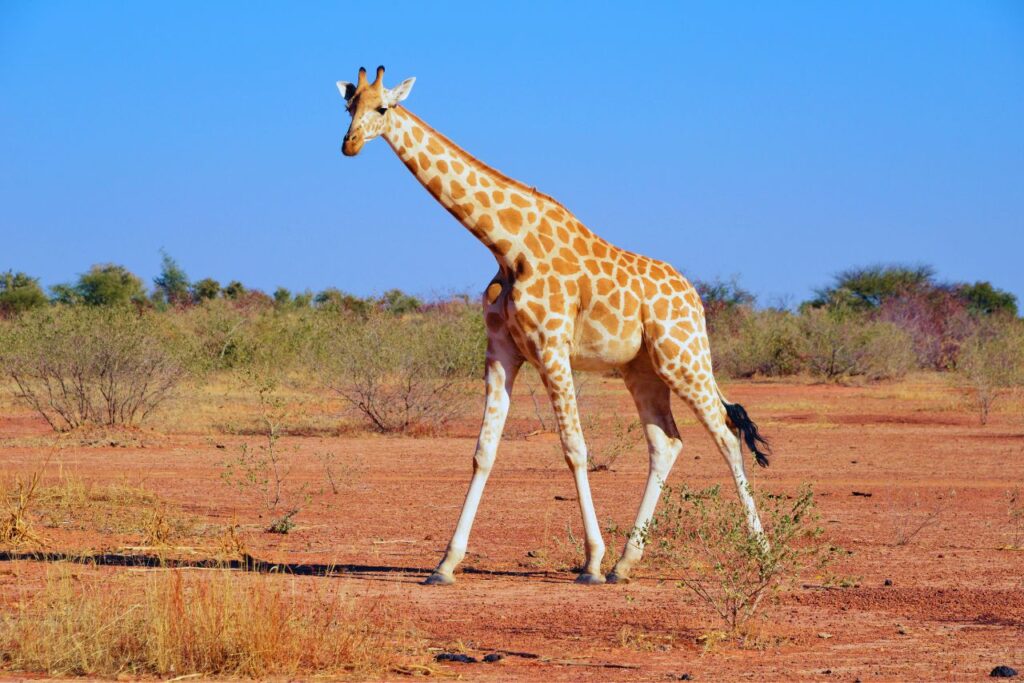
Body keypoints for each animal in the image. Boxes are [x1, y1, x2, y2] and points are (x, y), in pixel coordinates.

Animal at [336, 66, 771, 586]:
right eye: (348, 106)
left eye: (383, 107)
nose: (349, 144)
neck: (507, 245)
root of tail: (696, 299)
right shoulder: (502, 352)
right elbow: (483, 451)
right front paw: (445, 563)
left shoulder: (551, 347)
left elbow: (574, 447)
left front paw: (592, 561)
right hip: (642, 370)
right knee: (666, 443)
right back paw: (627, 561)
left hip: (683, 358)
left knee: (725, 434)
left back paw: (763, 554)